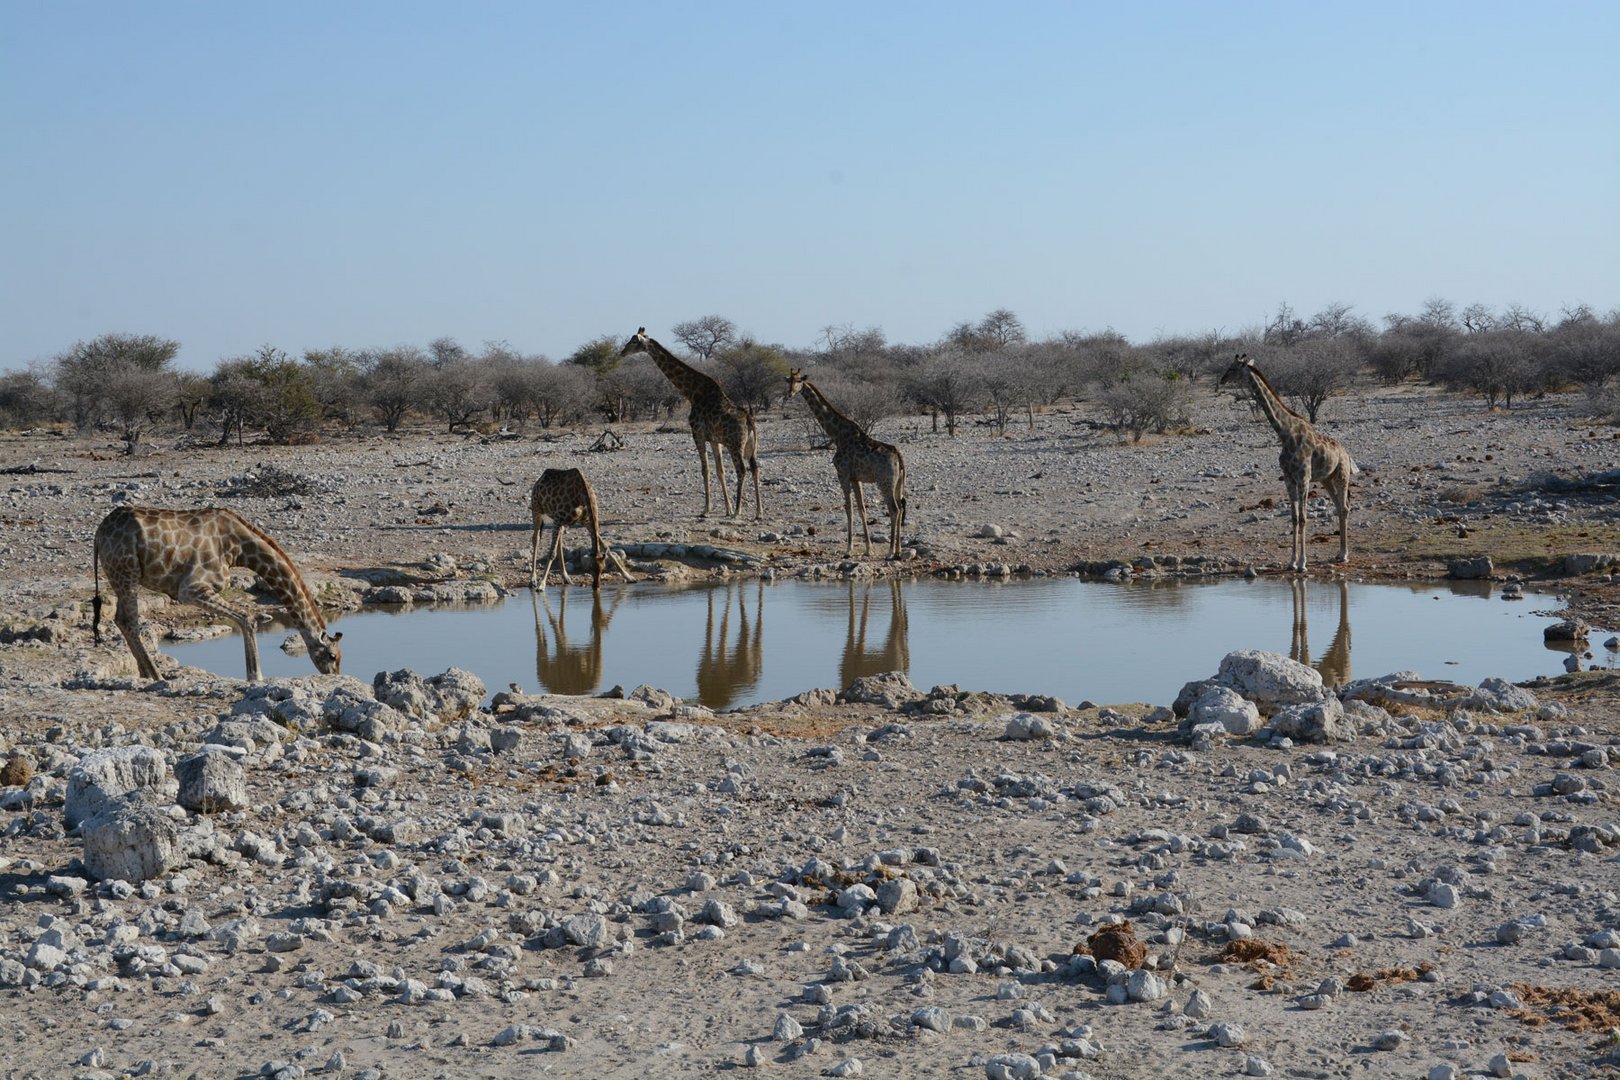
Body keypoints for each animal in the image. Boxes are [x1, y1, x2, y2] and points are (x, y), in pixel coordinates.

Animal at [91, 501, 341, 680]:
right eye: (332, 656)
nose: (333, 676)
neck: (239, 548)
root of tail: (98, 534)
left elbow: (245, 617)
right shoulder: (191, 589)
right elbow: (247, 617)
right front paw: (256, 676)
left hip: (120, 576)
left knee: (121, 619)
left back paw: (145, 673)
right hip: (127, 573)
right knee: (130, 621)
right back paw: (157, 675)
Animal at [618, 325, 758, 518]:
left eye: (633, 341)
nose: (622, 352)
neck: (692, 392)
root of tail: (749, 421)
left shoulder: (697, 433)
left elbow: (705, 470)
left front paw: (706, 509)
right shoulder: (714, 439)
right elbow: (719, 470)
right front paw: (727, 508)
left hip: (735, 444)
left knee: (742, 470)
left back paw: (738, 511)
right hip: (751, 445)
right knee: (755, 468)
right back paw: (759, 512)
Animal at [787, 369, 913, 557]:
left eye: (799, 380)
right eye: (788, 380)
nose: (790, 393)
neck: (838, 435)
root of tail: (898, 456)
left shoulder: (843, 474)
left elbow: (848, 508)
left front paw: (848, 548)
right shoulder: (855, 478)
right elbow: (861, 509)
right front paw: (868, 549)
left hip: (885, 481)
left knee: (894, 509)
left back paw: (890, 552)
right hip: (898, 482)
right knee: (901, 506)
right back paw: (898, 550)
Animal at [1218, 354, 1360, 573]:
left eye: (1233, 368)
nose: (1222, 380)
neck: (1285, 434)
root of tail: (1345, 451)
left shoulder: (1303, 478)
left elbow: (1303, 518)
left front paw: (1302, 563)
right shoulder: (1288, 478)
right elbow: (1293, 518)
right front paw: (1292, 562)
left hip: (1341, 474)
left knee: (1344, 507)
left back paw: (1344, 555)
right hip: (1326, 479)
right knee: (1339, 506)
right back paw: (1339, 554)